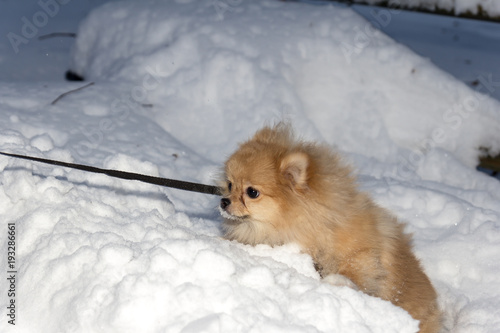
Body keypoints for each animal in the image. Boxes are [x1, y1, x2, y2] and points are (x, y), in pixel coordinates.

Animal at [219, 122, 442, 332]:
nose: (223, 201)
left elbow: (356, 268)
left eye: (252, 192)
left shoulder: (362, 254)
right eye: (230, 185)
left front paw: (338, 281)